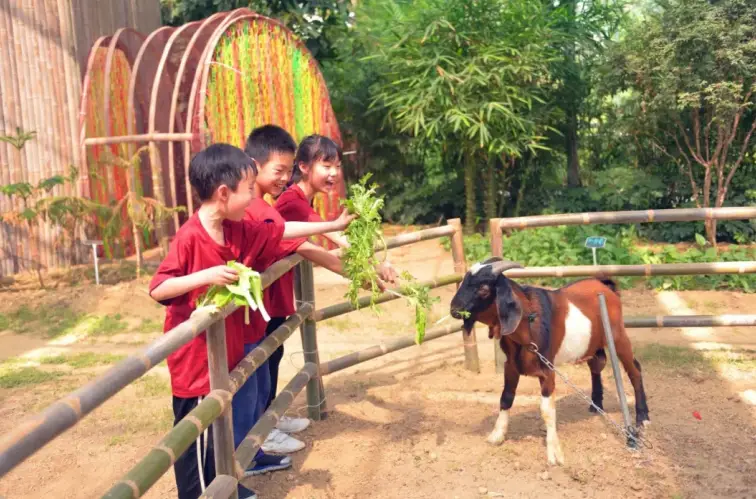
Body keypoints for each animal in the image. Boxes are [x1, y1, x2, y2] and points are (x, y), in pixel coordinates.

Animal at [448, 260, 648, 466]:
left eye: (484, 288)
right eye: (465, 280)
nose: (454, 309)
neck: (527, 323)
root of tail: (606, 287)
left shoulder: (547, 369)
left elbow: (546, 409)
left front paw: (554, 453)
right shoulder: (510, 365)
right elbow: (506, 397)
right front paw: (497, 435)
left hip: (618, 336)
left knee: (634, 370)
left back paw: (642, 418)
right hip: (593, 344)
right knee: (597, 365)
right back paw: (596, 404)